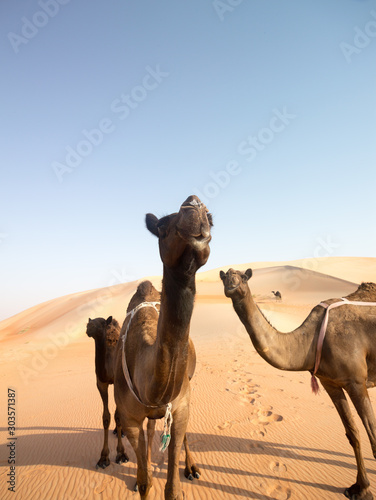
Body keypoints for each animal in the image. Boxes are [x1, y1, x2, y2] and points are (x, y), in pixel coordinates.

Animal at [86, 316, 129, 468]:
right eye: (91, 321)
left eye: (101, 323)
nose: (88, 325)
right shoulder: (101, 383)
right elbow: (106, 417)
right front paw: (103, 458)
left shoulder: (118, 383)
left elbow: (118, 416)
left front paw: (121, 454)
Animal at [113, 196, 213, 500]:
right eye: (160, 226)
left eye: (212, 219)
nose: (194, 205)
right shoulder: (129, 419)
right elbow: (146, 482)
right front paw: (141, 480)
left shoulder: (180, 407)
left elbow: (173, 489)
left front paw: (183, 474)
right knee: (150, 429)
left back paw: (191, 467)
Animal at [220, 268, 376, 500]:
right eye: (224, 276)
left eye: (244, 277)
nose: (231, 283)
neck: (310, 340)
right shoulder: (330, 383)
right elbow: (353, 434)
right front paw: (360, 488)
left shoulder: (357, 382)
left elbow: (373, 436)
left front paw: (365, 489)